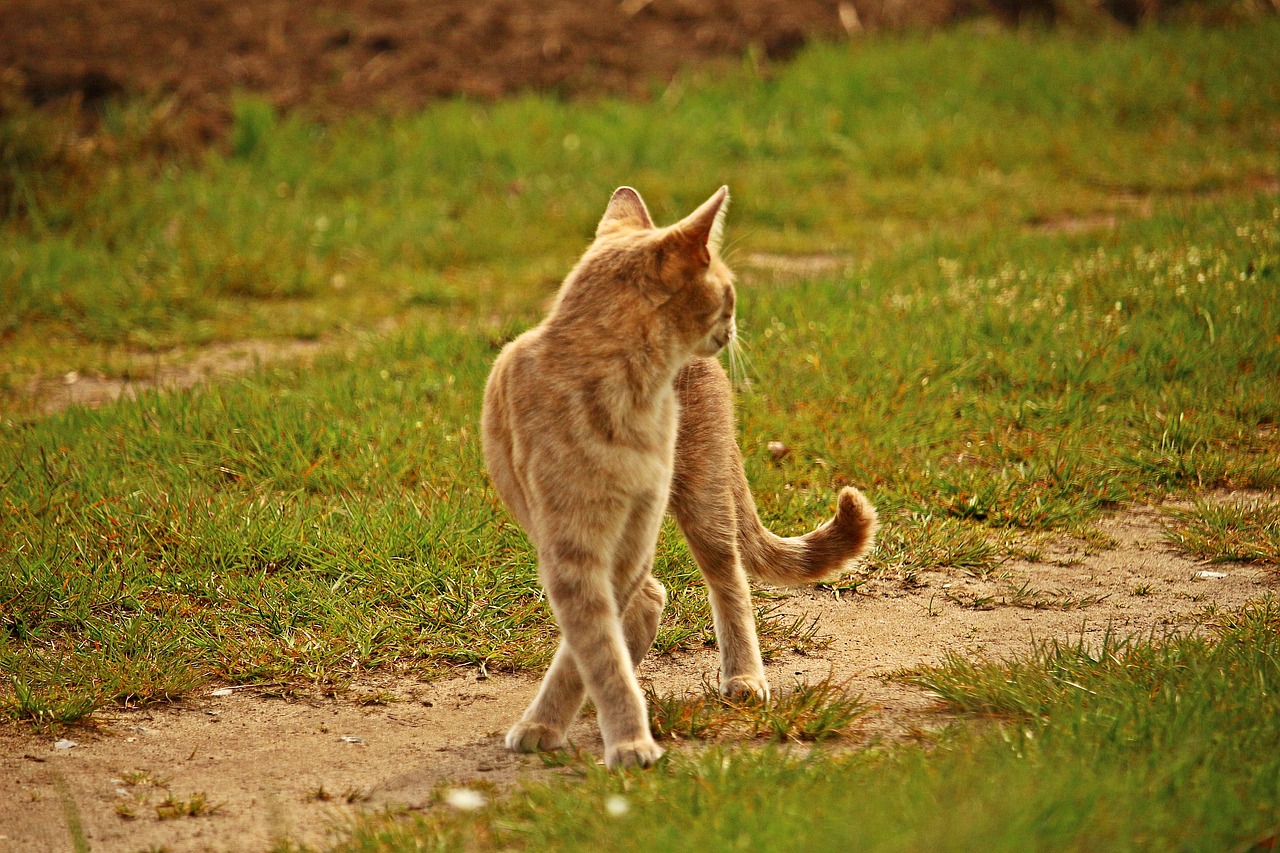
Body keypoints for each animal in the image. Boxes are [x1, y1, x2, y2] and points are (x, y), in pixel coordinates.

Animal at [481, 183, 880, 768]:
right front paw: (581, 722)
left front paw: (610, 731)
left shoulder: (631, 535)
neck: (627, 392)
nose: (734, 327)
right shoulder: (570, 544)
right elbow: (596, 645)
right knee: (649, 598)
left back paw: (742, 676)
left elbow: (594, 648)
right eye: (728, 292)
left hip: (702, 494)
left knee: (724, 578)